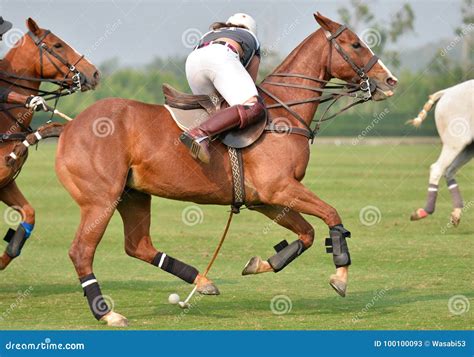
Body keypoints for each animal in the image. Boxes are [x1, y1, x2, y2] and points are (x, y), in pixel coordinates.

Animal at [54, 13, 396, 326]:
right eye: (355, 44)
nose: (390, 80)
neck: (284, 114)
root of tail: (68, 127)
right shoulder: (280, 188)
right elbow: (331, 215)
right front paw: (340, 275)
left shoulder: (266, 201)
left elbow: (308, 233)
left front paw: (261, 263)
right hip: (101, 199)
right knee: (81, 251)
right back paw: (107, 313)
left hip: (133, 195)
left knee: (138, 246)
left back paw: (202, 281)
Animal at [410, 80, 472, 225]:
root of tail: (447, 91)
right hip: (455, 141)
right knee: (437, 168)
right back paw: (425, 211)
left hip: (468, 146)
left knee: (449, 170)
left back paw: (456, 212)